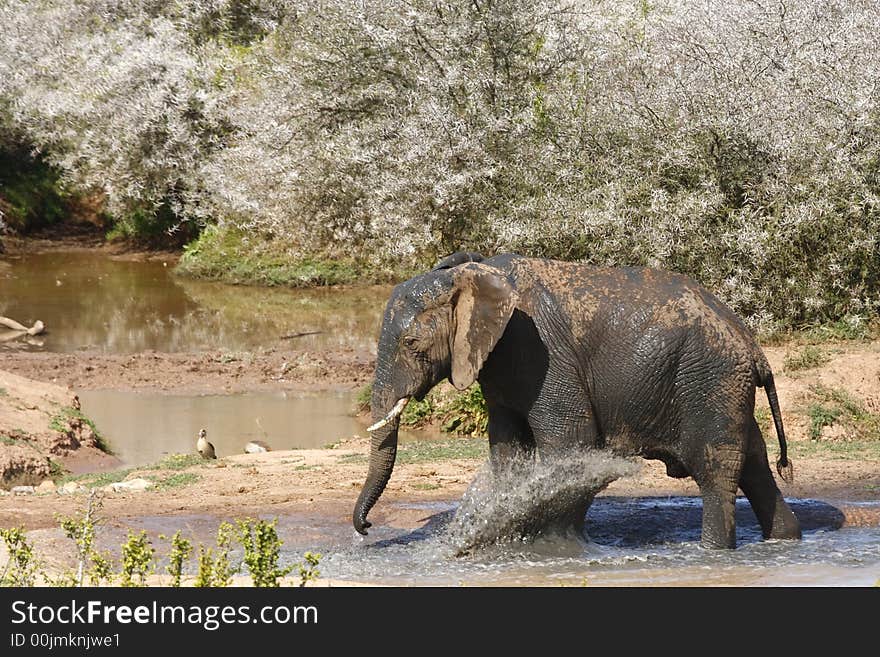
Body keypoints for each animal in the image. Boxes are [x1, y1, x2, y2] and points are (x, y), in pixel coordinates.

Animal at [352, 251, 804, 548]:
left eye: (411, 344)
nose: (367, 527)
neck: (472, 273)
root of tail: (754, 347)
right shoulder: (502, 365)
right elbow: (507, 449)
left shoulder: (540, 352)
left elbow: (572, 442)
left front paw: (555, 547)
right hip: (724, 386)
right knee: (755, 464)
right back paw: (785, 540)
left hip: (710, 380)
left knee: (715, 469)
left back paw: (712, 553)